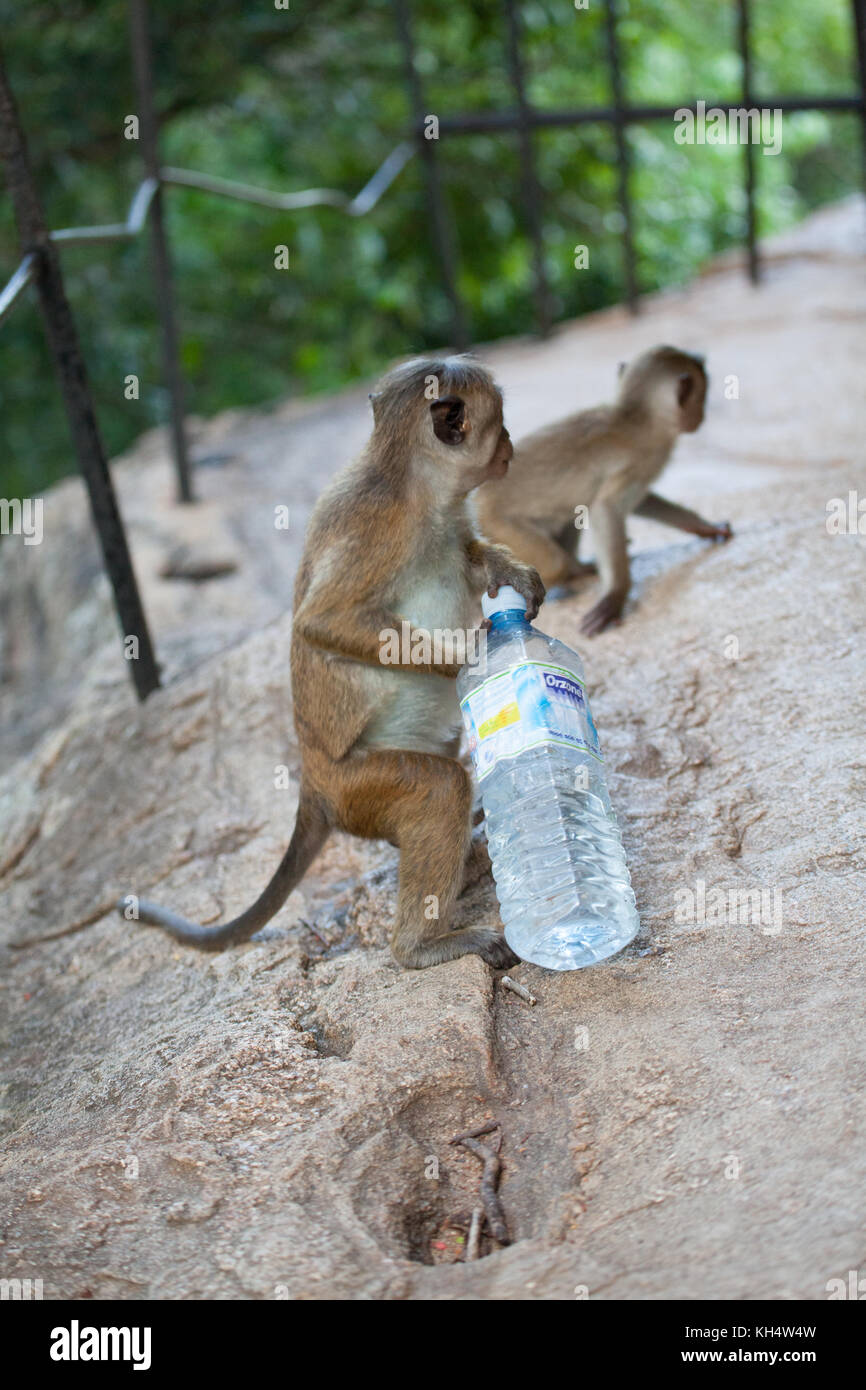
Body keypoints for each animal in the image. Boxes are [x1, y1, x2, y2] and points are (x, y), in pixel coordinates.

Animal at [120, 353, 542, 973]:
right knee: (439, 787)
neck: (416, 484)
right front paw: (475, 654)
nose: (511, 444)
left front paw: (509, 571)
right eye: (500, 424)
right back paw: (419, 946)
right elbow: (322, 622)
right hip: (356, 785)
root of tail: (314, 783)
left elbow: (468, 556)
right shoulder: (379, 527)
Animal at [475, 347, 733, 636]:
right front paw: (615, 595)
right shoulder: (639, 461)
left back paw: (579, 568)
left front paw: (704, 526)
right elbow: (606, 508)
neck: (636, 419)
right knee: (555, 561)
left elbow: (639, 502)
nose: (700, 417)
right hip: (496, 522)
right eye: (702, 397)